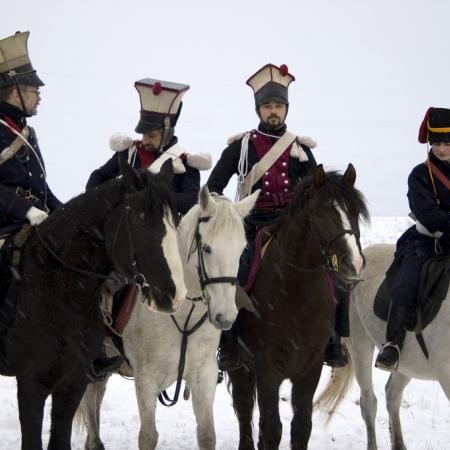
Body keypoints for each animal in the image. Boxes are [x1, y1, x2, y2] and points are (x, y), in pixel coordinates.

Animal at [79, 186, 258, 450]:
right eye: (207, 248)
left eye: (242, 249)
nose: (225, 316)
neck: (183, 314)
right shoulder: (146, 380)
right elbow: (148, 437)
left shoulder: (204, 374)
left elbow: (207, 435)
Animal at [229, 163, 370, 448]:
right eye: (321, 212)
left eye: (355, 212)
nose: (354, 265)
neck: (296, 294)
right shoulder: (267, 368)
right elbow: (272, 428)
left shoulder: (309, 368)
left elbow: (301, 426)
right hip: (241, 365)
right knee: (244, 407)